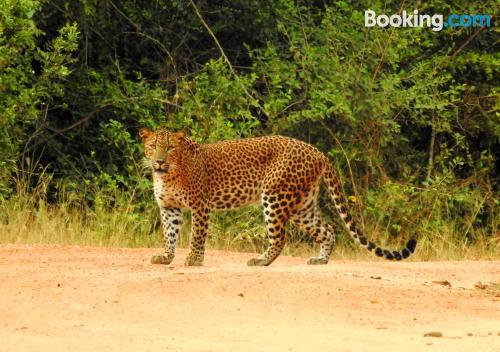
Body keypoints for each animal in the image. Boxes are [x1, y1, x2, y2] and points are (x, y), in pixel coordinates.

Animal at [139, 127, 416, 266]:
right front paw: (165, 257)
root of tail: (317, 152)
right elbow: (169, 234)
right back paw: (320, 260)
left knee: (280, 238)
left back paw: (261, 260)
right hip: (302, 205)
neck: (169, 175)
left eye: (170, 147)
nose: (159, 161)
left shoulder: (200, 206)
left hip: (275, 196)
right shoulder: (169, 207)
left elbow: (196, 235)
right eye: (153, 147)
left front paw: (194, 260)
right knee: (327, 229)